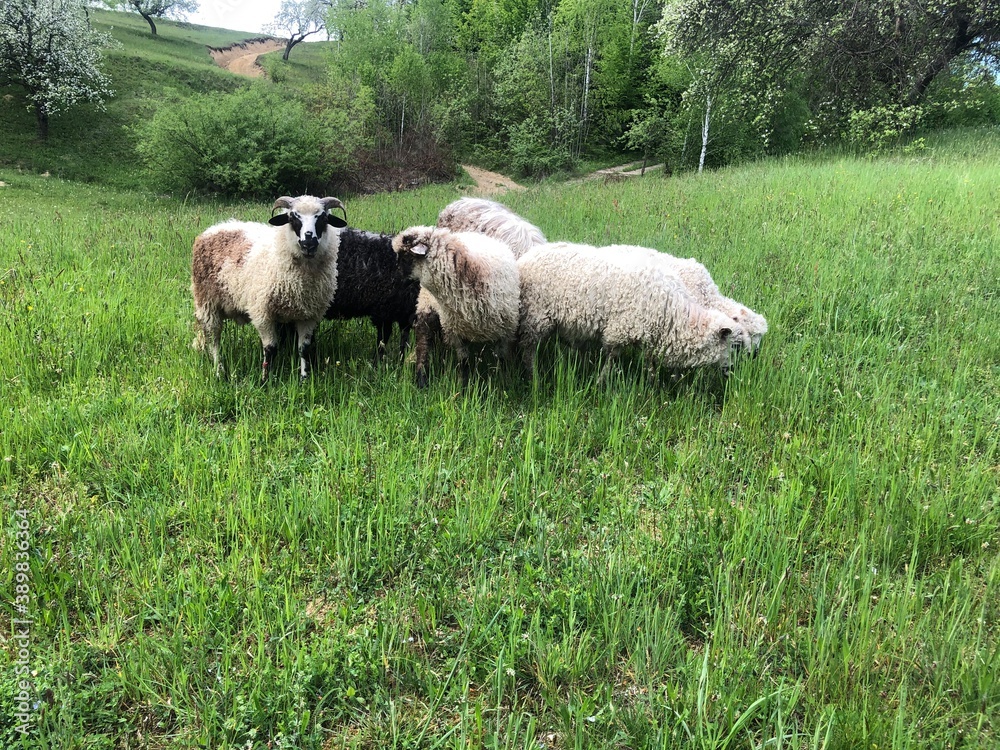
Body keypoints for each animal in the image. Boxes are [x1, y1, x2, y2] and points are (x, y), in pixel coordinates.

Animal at [191, 195, 346, 383]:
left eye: (323, 218)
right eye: (293, 218)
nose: (308, 242)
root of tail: (215, 228)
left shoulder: (309, 316)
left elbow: (303, 349)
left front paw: (304, 379)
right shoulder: (262, 313)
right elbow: (270, 348)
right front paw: (266, 380)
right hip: (207, 303)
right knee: (213, 339)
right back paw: (219, 370)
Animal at [393, 226, 520, 387]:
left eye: (405, 258)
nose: (395, 280)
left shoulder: (505, 332)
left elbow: (501, 361)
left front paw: (504, 383)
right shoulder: (457, 331)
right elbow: (463, 362)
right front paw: (464, 386)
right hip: (426, 307)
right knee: (423, 343)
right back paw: (422, 380)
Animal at [517, 242, 744, 380]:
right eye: (735, 346)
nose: (733, 372)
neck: (673, 314)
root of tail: (527, 257)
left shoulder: (649, 336)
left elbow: (650, 362)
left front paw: (651, 382)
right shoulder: (619, 331)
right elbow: (611, 359)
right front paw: (601, 382)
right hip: (536, 316)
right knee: (528, 349)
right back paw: (534, 376)